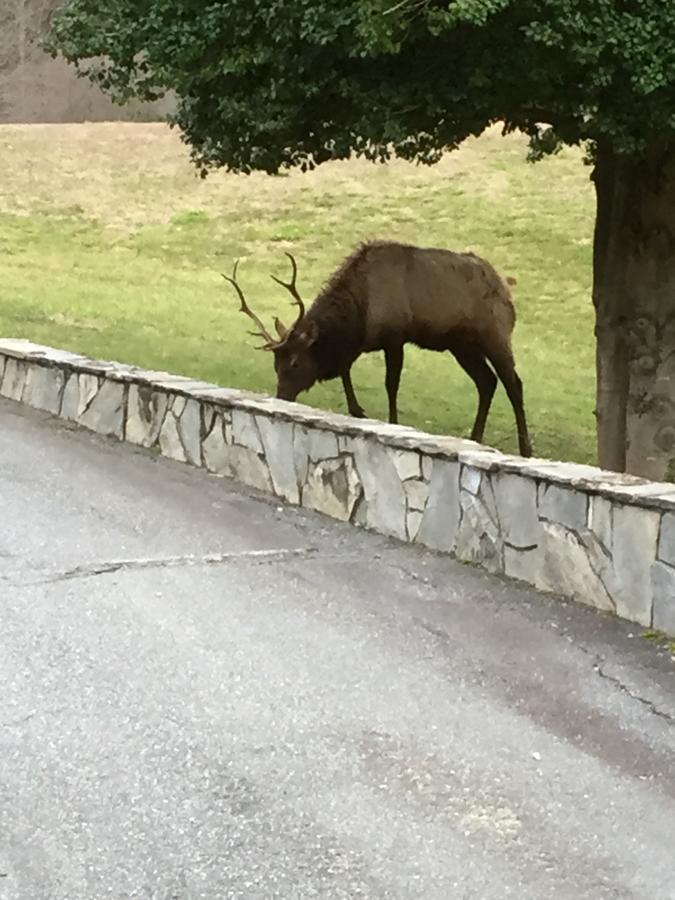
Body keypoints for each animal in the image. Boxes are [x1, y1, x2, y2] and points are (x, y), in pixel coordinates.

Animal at [226, 239, 532, 458]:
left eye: (295, 363)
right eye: (276, 364)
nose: (281, 397)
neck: (359, 314)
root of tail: (506, 292)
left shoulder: (395, 337)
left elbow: (391, 384)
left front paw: (391, 422)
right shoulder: (360, 344)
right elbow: (345, 370)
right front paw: (358, 410)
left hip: (495, 335)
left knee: (513, 383)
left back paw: (525, 449)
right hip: (462, 345)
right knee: (486, 382)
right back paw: (475, 437)